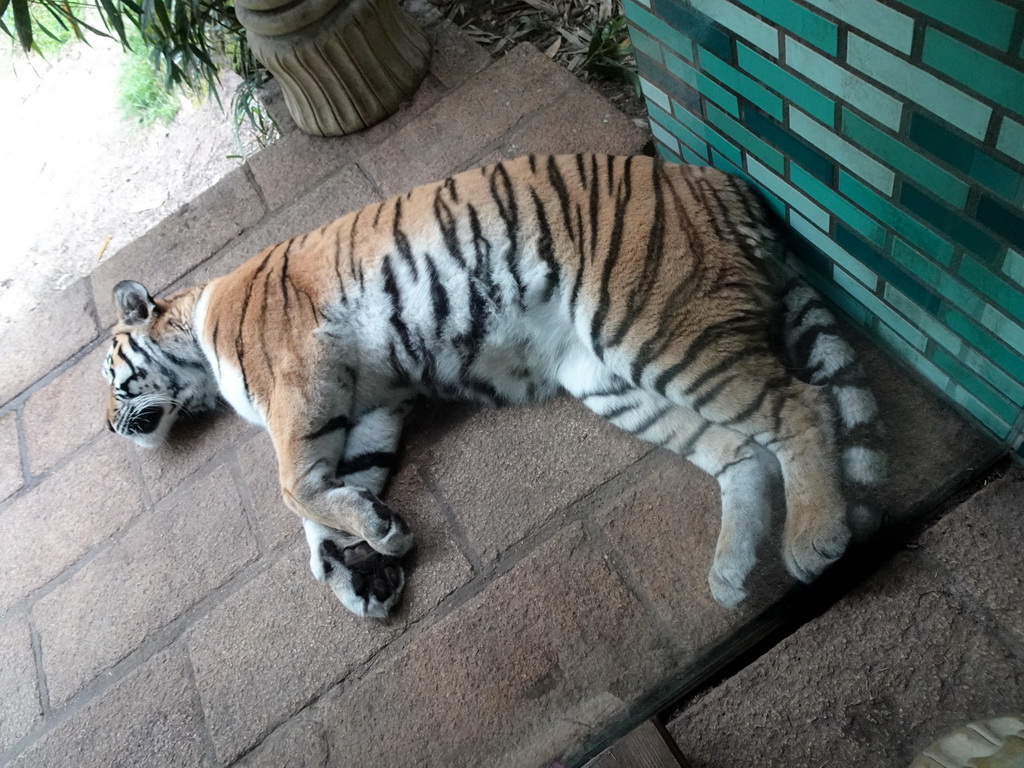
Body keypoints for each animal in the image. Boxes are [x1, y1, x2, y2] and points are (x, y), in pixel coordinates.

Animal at [105, 154, 888, 618]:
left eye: (113, 387)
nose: (113, 430)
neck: (197, 335)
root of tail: (716, 181)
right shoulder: (369, 404)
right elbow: (330, 504)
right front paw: (369, 565)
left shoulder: (303, 384)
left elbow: (294, 489)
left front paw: (366, 546)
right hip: (611, 378)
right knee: (740, 451)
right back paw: (730, 574)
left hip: (656, 322)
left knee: (800, 404)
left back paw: (814, 540)